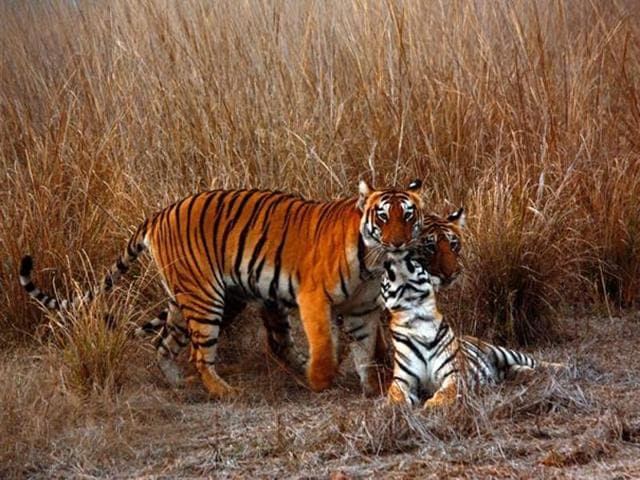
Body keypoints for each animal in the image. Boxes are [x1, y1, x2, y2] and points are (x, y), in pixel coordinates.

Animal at [19, 180, 424, 398]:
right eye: (383, 217)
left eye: (410, 216)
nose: (399, 243)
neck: (372, 264)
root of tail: (159, 214)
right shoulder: (313, 298)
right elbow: (324, 344)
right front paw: (319, 380)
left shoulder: (361, 311)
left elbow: (366, 350)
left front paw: (372, 387)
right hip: (207, 299)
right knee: (201, 355)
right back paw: (224, 392)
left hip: (190, 299)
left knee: (163, 343)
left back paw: (179, 384)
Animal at [380, 252, 563, 409]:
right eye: (386, 274)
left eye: (415, 262)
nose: (390, 259)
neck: (417, 317)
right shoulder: (402, 380)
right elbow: (394, 394)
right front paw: (396, 406)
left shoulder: (454, 374)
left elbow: (447, 391)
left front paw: (433, 405)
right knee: (512, 370)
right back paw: (525, 373)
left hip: (502, 352)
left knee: (536, 361)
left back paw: (560, 366)